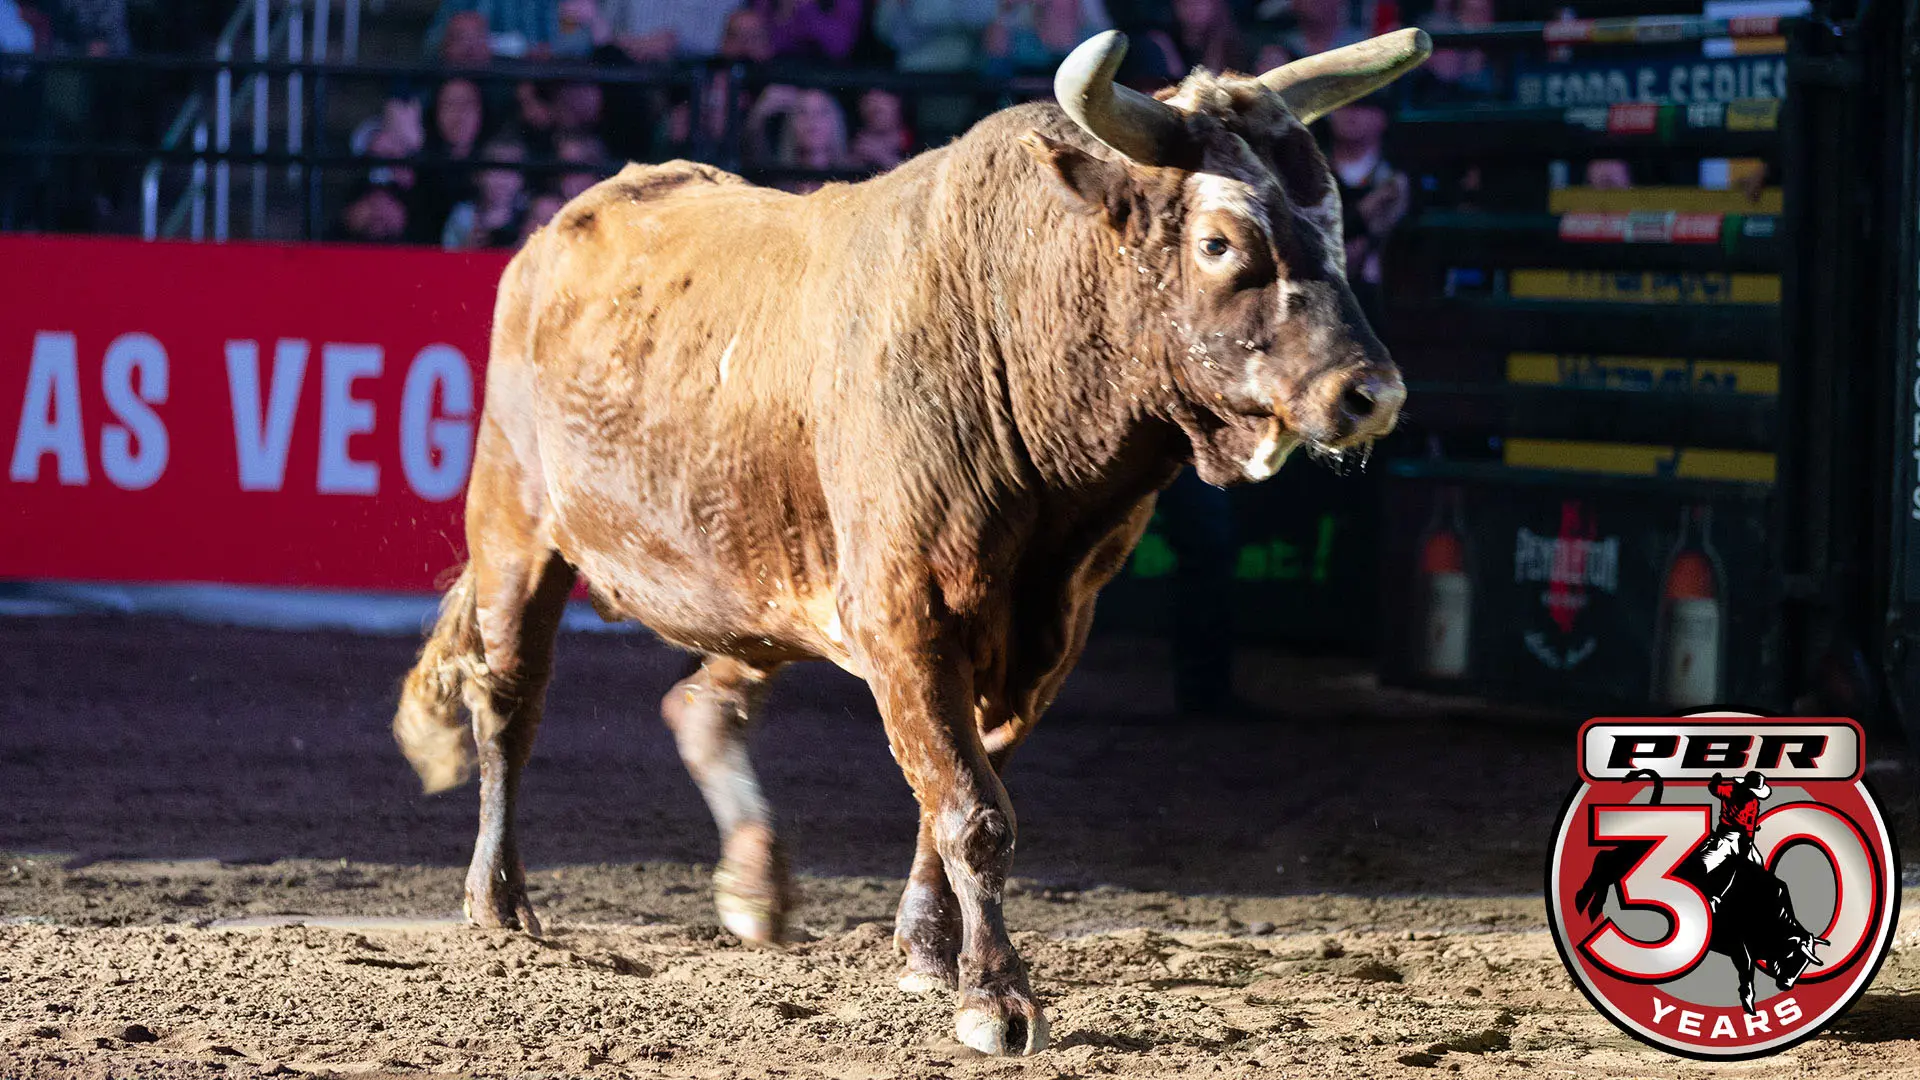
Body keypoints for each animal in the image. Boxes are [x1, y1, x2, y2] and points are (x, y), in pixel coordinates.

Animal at [397, 29, 1436, 1053]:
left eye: (1336, 226)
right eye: (1222, 242)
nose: (1372, 393)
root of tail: (564, 227)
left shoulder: (1047, 631)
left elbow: (951, 796)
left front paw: (930, 954)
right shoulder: (906, 615)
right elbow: (972, 811)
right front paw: (995, 997)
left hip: (768, 580)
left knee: (702, 705)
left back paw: (754, 883)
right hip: (515, 528)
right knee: (509, 703)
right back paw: (499, 902)